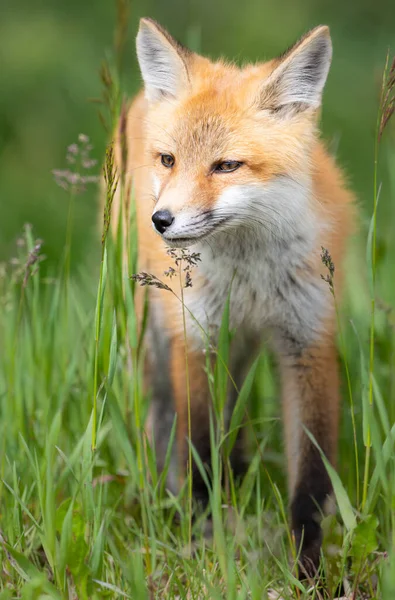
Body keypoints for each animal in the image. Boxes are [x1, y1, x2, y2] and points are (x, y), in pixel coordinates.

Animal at [112, 17, 356, 572]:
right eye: (169, 159)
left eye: (226, 166)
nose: (161, 221)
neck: (250, 277)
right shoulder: (195, 337)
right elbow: (199, 449)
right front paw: (205, 541)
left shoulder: (307, 339)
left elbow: (312, 477)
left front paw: (309, 568)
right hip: (155, 330)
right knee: (162, 414)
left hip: (238, 346)